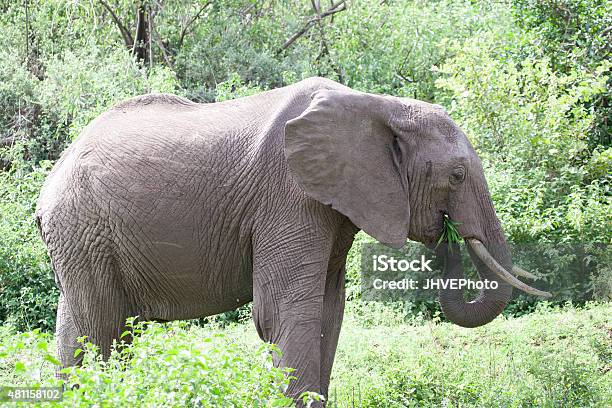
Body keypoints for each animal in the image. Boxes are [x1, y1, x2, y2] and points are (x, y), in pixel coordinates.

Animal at [34, 76, 548, 404]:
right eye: (456, 176)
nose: (448, 233)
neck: (378, 105)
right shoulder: (289, 196)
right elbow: (284, 311)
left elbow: (328, 312)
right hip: (82, 224)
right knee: (101, 326)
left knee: (83, 322)